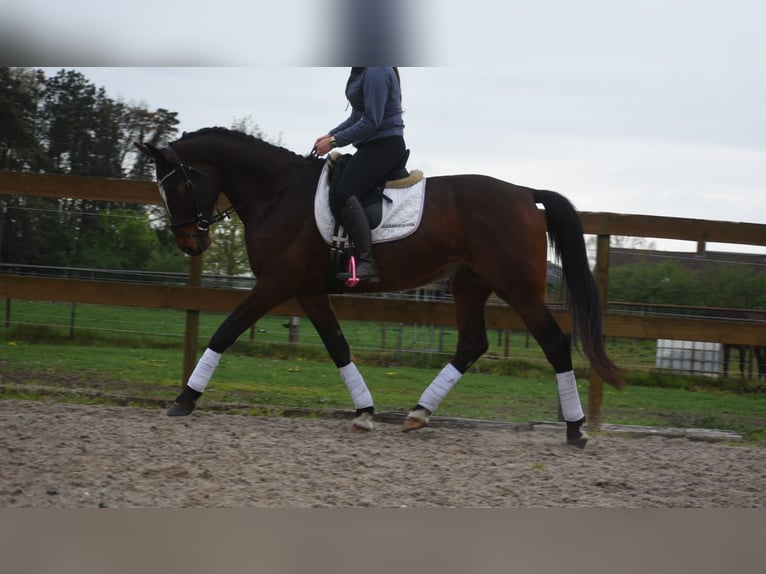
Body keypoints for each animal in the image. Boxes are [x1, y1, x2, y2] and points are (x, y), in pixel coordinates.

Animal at [135, 127, 625, 448]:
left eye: (176, 186)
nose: (190, 243)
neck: (278, 194)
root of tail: (525, 192)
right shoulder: (308, 292)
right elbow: (338, 347)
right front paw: (365, 413)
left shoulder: (275, 285)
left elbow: (225, 332)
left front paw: (184, 399)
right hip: (469, 283)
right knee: (472, 343)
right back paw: (418, 413)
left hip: (518, 288)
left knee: (555, 343)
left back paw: (576, 430)